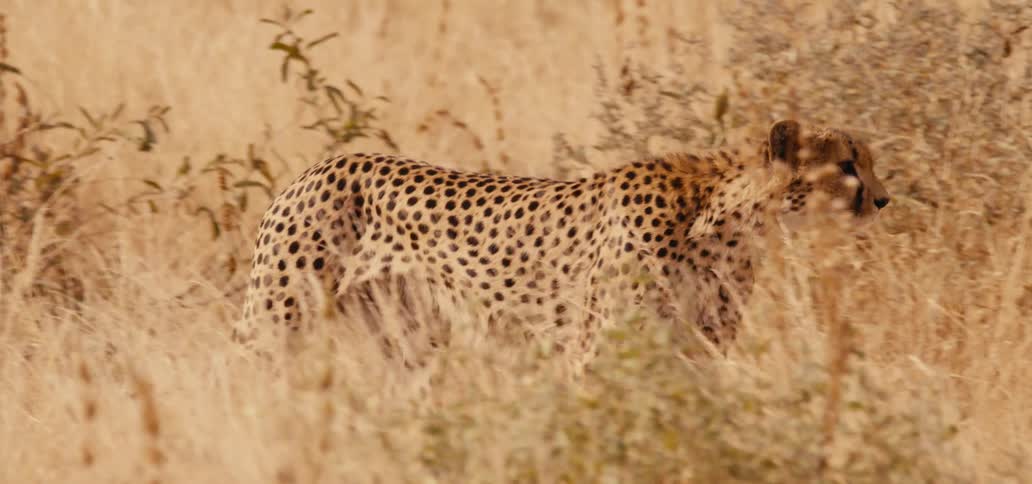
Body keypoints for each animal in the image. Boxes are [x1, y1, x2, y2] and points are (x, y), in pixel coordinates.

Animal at [232, 119, 890, 365]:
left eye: (866, 161)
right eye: (848, 165)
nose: (884, 200)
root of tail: (318, 166)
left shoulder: (700, 347)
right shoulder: (595, 349)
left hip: (406, 338)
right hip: (275, 322)